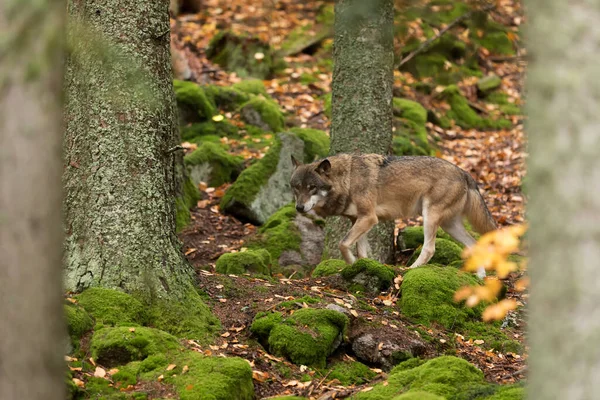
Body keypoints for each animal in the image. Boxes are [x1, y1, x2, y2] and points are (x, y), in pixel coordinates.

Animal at [288, 153, 494, 278]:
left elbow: (343, 244)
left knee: (429, 249)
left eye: (312, 188)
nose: (299, 207)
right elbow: (360, 251)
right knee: (474, 244)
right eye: (296, 187)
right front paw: (360, 266)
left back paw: (409, 270)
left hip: (430, 217)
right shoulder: (358, 220)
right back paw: (480, 277)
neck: (348, 179)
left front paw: (351, 263)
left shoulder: (369, 218)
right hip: (449, 226)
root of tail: (464, 172)